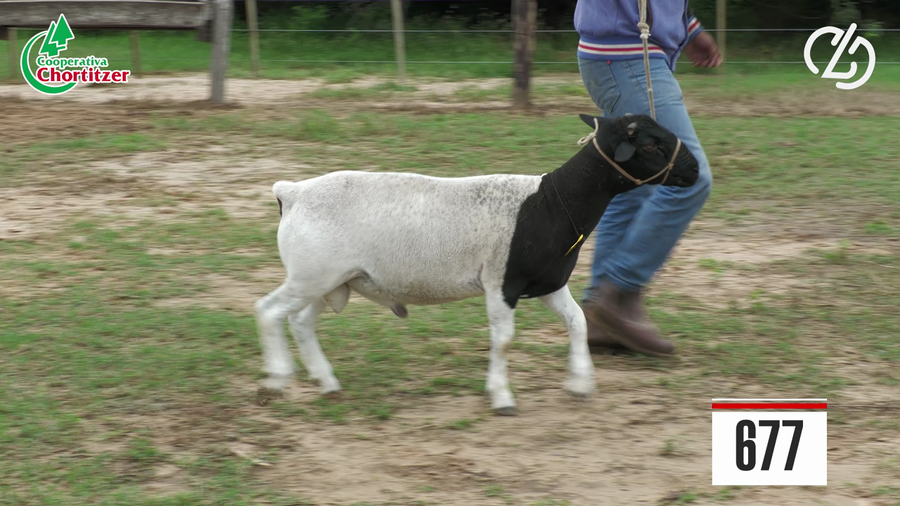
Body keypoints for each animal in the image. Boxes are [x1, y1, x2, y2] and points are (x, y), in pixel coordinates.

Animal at [254, 113, 699, 415]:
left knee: (300, 322)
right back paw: (278, 377)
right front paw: (501, 397)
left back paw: (326, 382)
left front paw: (580, 382)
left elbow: (578, 323)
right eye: (650, 145)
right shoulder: (502, 283)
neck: (553, 204)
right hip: (311, 274)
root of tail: (291, 193)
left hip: (329, 279)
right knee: (269, 312)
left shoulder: (549, 283)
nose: (695, 169)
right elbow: (503, 341)